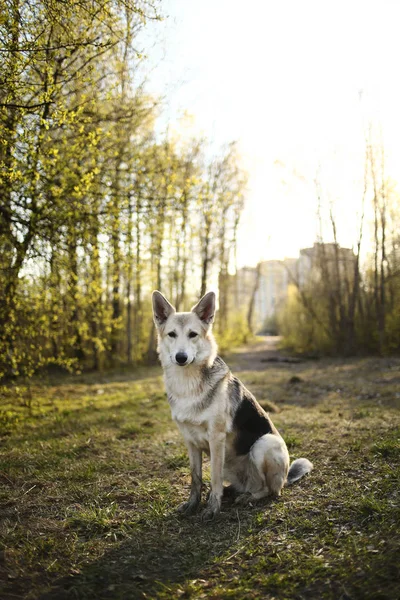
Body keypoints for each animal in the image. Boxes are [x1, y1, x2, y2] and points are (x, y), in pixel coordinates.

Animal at [152, 290, 310, 520]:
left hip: (264, 443)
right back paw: (232, 491)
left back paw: (248, 497)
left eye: (193, 334)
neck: (188, 384)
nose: (181, 358)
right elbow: (196, 478)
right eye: (172, 334)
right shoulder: (190, 441)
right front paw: (192, 504)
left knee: (269, 490)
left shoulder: (216, 439)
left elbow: (214, 478)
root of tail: (286, 478)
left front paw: (212, 509)